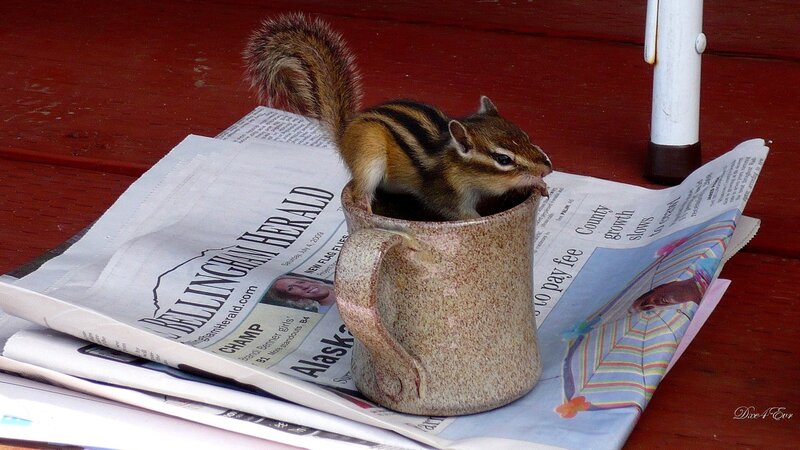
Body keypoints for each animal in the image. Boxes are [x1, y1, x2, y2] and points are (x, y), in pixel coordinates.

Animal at [244, 13, 552, 220]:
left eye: (526, 136)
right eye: (503, 159)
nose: (547, 167)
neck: (453, 161)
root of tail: (346, 132)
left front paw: (540, 184)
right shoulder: (446, 194)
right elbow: (459, 213)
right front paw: (478, 221)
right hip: (369, 155)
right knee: (360, 189)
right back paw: (365, 206)